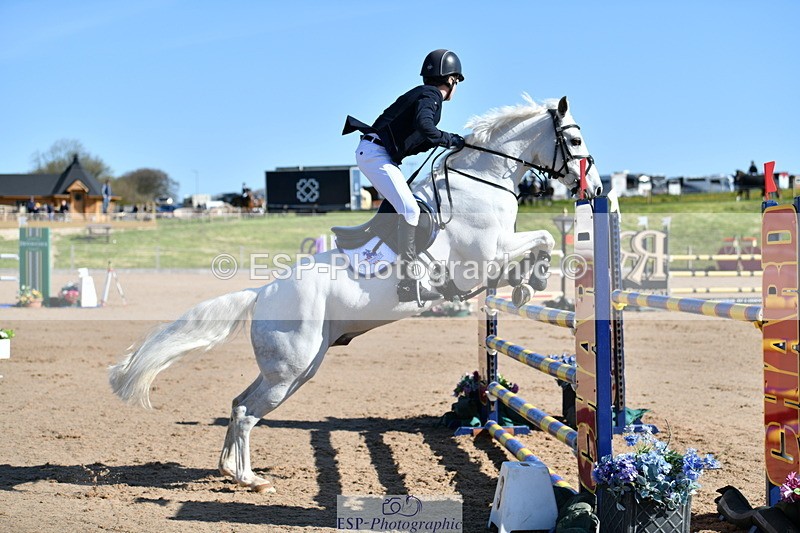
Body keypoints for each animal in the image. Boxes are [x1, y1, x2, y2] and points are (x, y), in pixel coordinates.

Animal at [108, 95, 603, 493]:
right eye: (576, 140)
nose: (595, 188)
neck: (479, 183)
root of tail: (261, 292)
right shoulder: (483, 259)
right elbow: (543, 238)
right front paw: (531, 284)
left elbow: (537, 244)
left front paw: (525, 285)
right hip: (289, 369)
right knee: (247, 411)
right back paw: (251, 479)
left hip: (294, 369)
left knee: (237, 404)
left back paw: (230, 469)